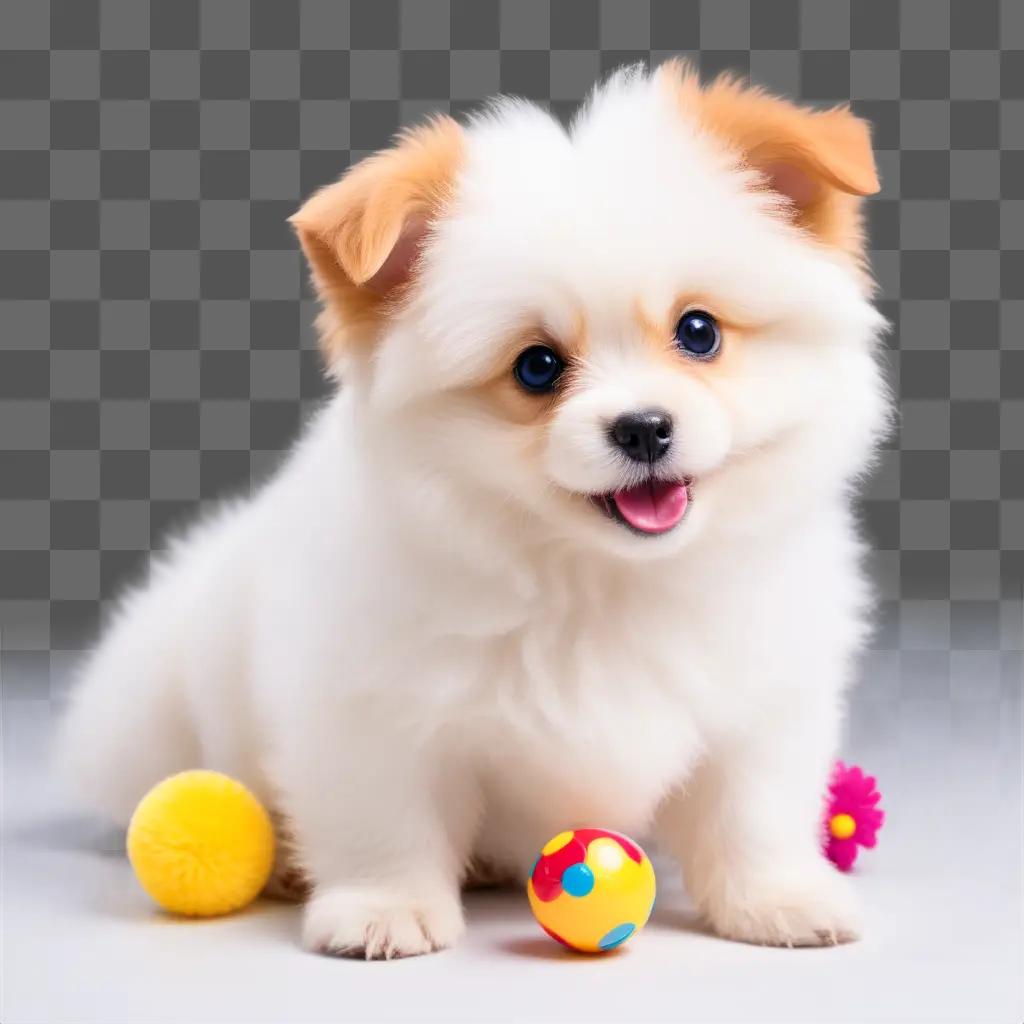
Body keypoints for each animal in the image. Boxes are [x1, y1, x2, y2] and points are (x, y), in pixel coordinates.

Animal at [58, 66, 888, 958]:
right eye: (537, 368)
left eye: (698, 332)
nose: (643, 427)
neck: (598, 578)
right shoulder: (366, 707)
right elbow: (383, 819)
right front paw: (382, 908)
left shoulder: (764, 700)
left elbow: (751, 811)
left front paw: (775, 900)